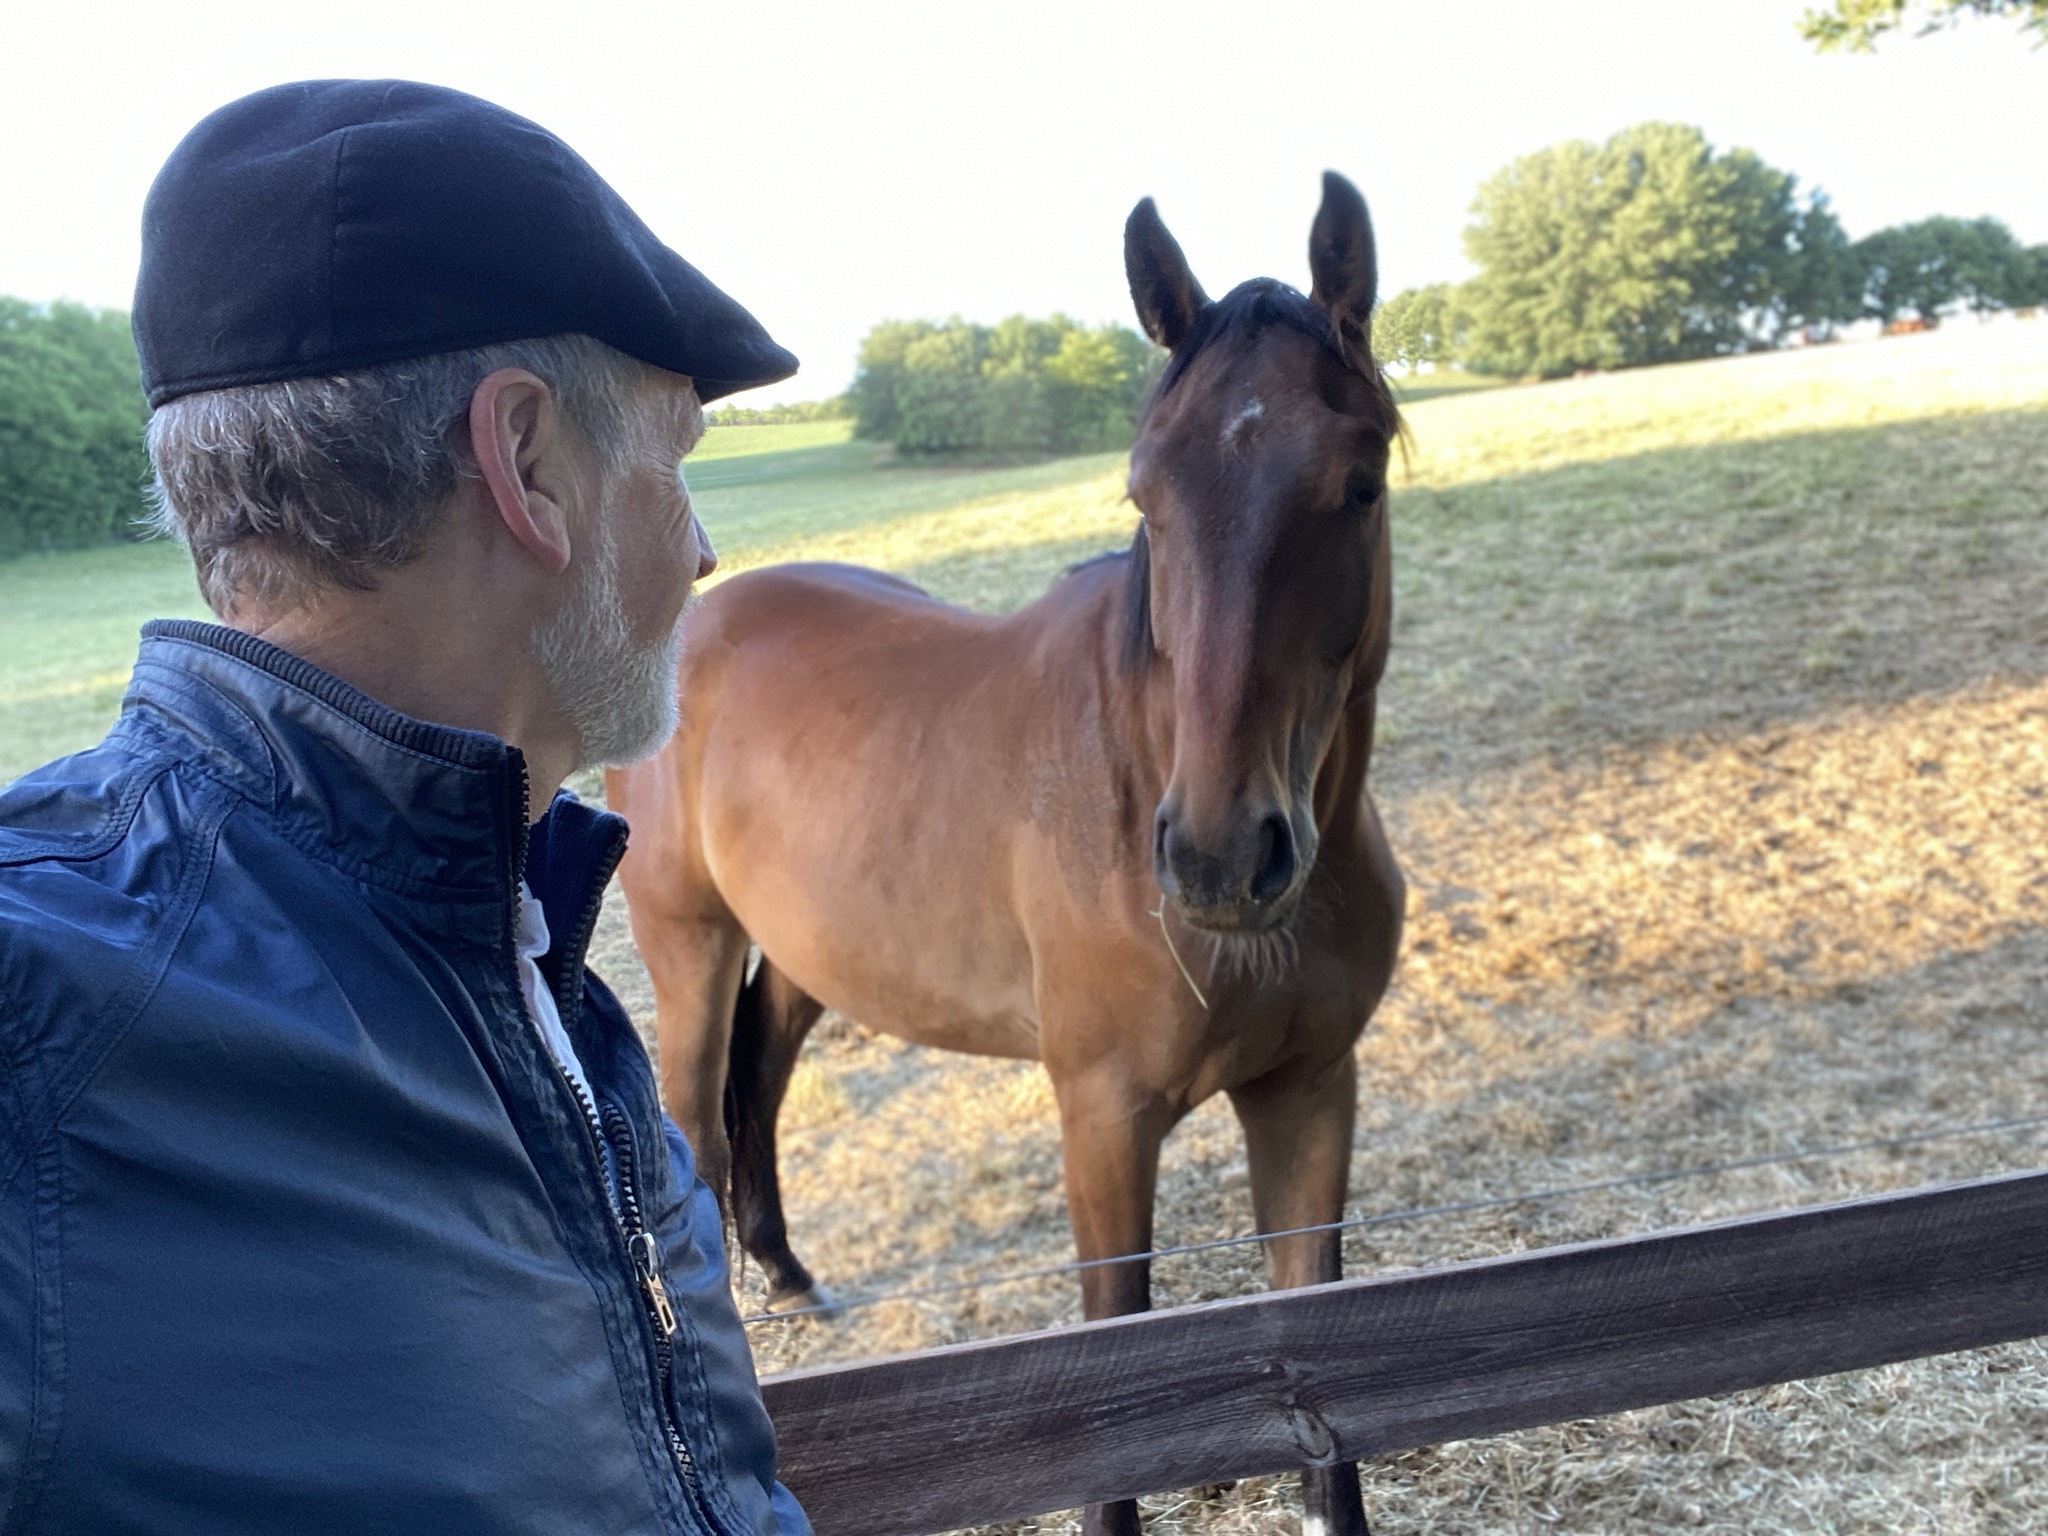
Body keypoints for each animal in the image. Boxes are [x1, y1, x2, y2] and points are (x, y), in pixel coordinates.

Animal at [607, 172, 1405, 1536]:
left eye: (1355, 483)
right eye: (1144, 495)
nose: (1216, 857)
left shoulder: (1309, 1096)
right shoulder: (1102, 1118)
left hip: (806, 956)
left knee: (760, 1082)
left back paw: (789, 1273)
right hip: (691, 953)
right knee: (700, 1128)